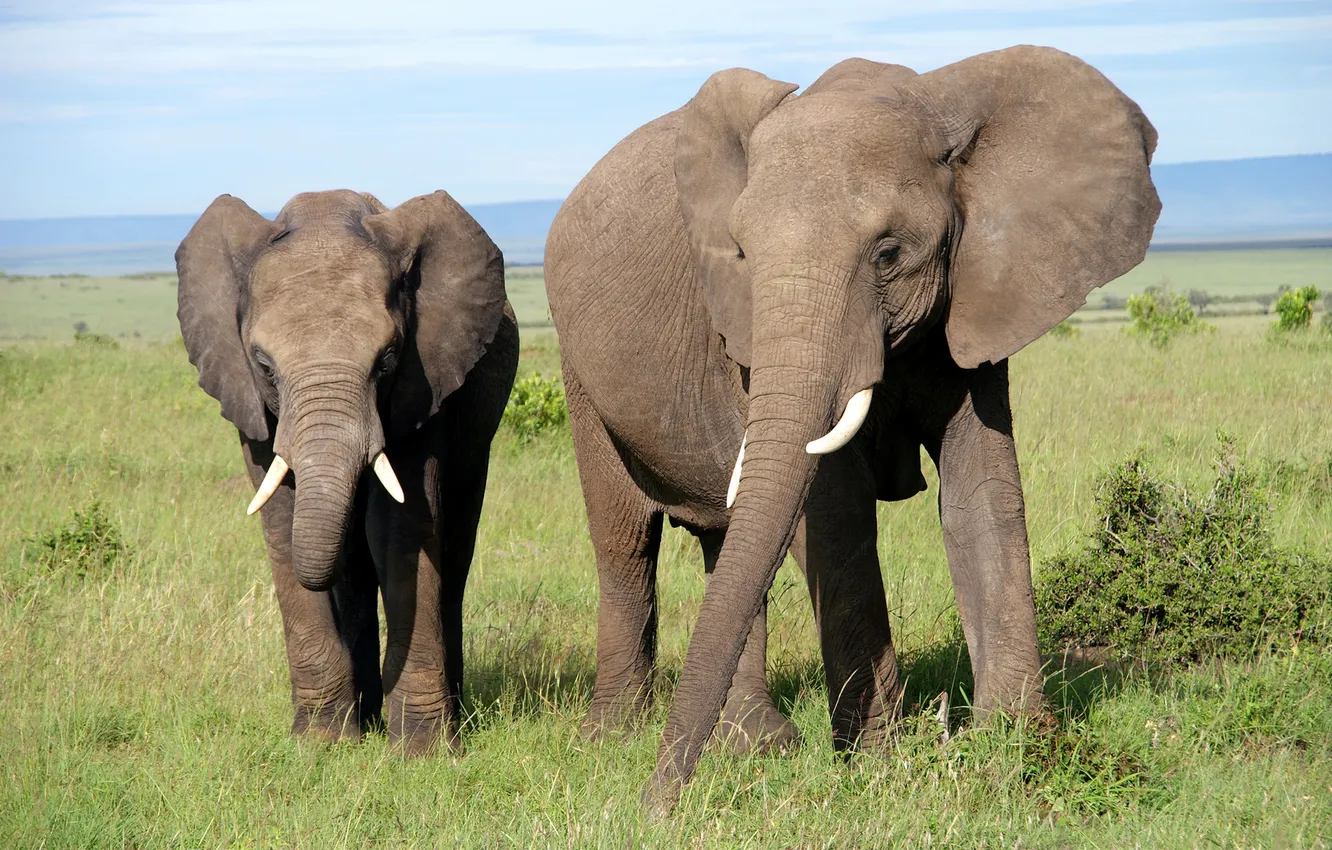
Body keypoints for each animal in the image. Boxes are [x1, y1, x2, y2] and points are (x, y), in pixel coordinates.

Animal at [176, 188, 518, 754]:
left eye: (387, 358)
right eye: (264, 366)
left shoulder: (423, 385)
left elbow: (401, 531)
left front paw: (422, 753)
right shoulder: (248, 400)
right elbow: (282, 524)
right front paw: (319, 743)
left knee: (452, 547)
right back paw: (364, 719)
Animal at [544, 46, 1160, 813]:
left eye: (889, 253)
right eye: (739, 253)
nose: (656, 807)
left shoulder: (978, 293)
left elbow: (981, 492)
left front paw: (1016, 746)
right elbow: (833, 513)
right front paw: (878, 764)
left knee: (728, 541)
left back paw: (754, 744)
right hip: (577, 367)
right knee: (626, 542)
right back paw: (617, 737)